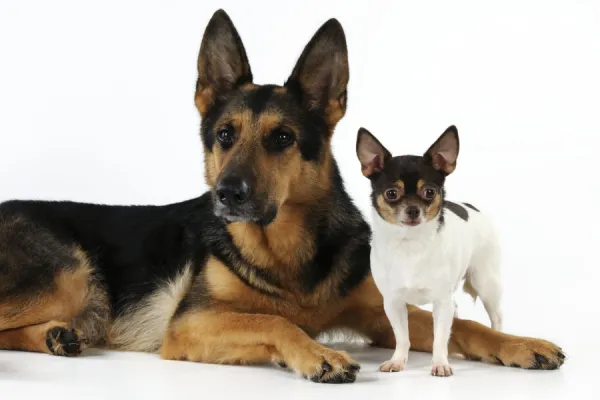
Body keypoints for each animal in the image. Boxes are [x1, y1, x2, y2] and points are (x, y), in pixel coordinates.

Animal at [358, 126, 504, 376]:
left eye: (429, 192)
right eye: (391, 193)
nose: (413, 210)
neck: (410, 244)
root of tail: (472, 207)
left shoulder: (442, 301)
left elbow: (439, 338)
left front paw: (440, 363)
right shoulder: (393, 302)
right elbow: (402, 337)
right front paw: (398, 360)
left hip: (486, 283)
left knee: (496, 318)